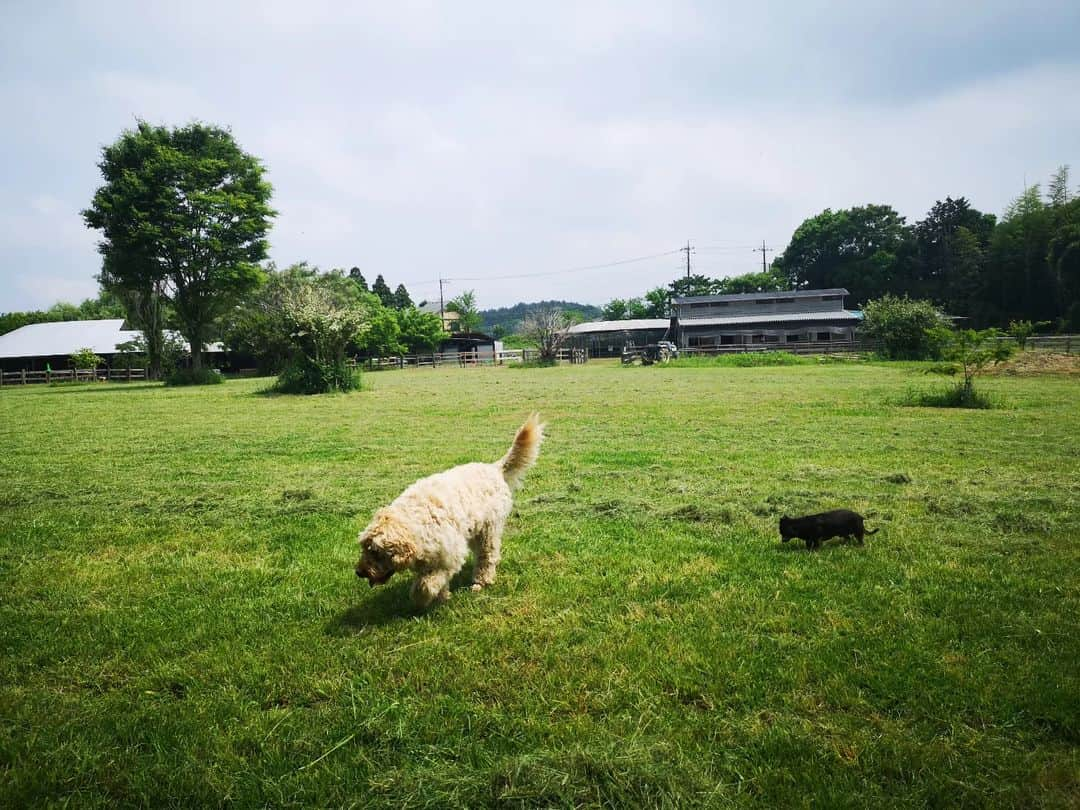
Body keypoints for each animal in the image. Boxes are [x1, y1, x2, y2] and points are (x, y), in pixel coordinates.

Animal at [356, 412, 544, 609]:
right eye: (364, 548)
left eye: (375, 551)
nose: (359, 572)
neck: (414, 521)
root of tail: (494, 468)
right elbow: (435, 582)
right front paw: (442, 597)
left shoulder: (449, 556)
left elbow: (425, 584)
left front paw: (423, 599)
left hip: (488, 530)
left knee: (487, 556)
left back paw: (481, 582)